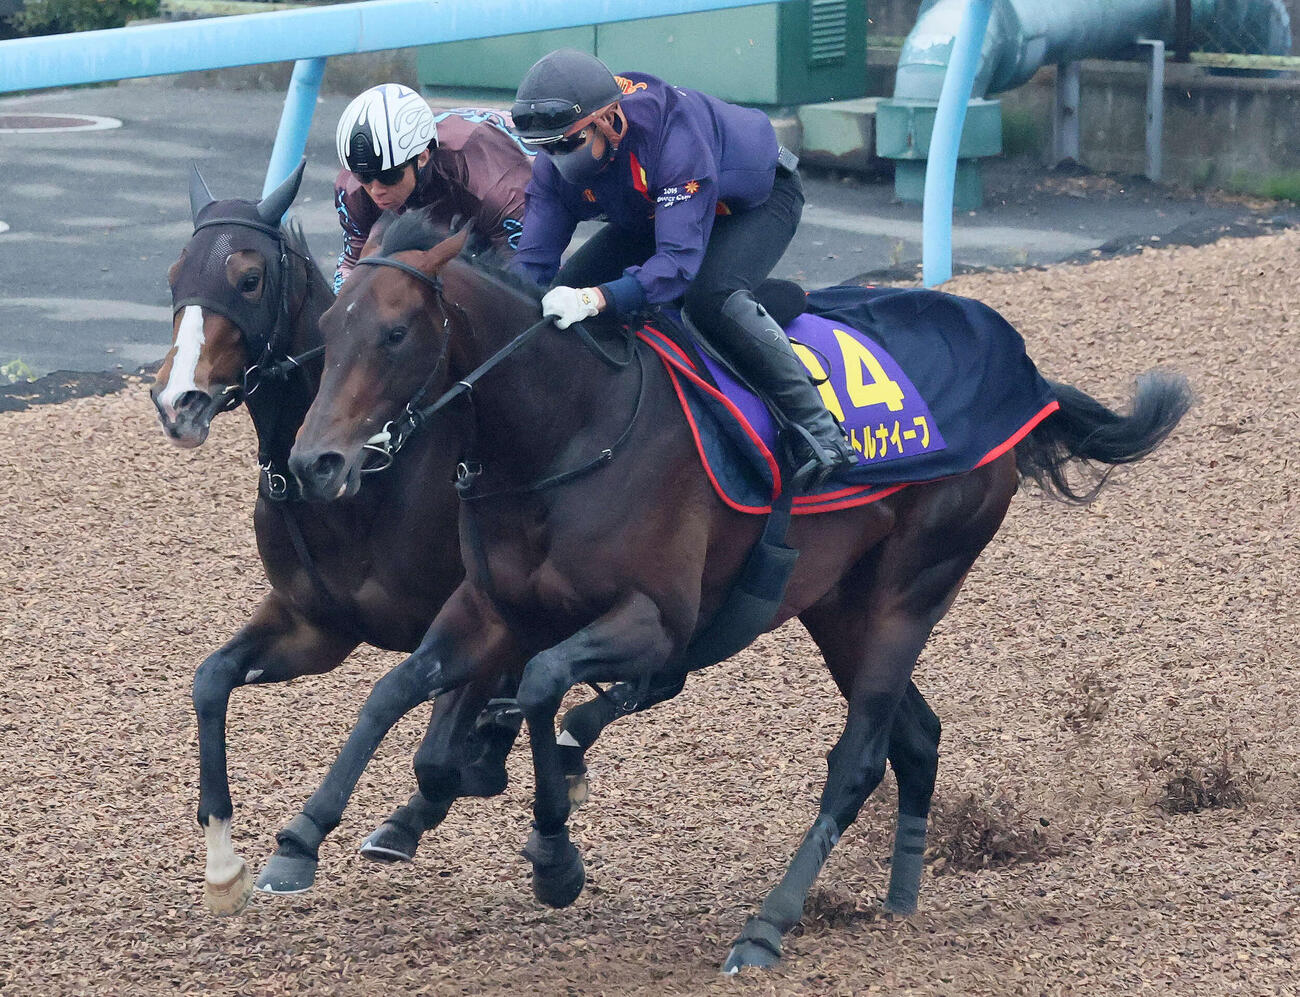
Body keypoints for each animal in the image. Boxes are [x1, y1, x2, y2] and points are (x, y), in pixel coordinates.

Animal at [150, 165, 523, 914]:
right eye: (176, 273)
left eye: (249, 278)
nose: (179, 402)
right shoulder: (316, 624)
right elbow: (210, 680)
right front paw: (222, 863)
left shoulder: (477, 609)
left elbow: (435, 745)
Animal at [271, 215, 1191, 972]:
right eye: (328, 326)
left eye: (394, 333)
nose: (317, 461)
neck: (566, 427)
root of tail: (1027, 380)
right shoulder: (493, 608)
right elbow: (399, 690)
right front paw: (301, 836)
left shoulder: (657, 620)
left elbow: (538, 685)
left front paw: (556, 853)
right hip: (839, 603)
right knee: (917, 736)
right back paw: (899, 895)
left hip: (912, 588)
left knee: (858, 758)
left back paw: (766, 926)